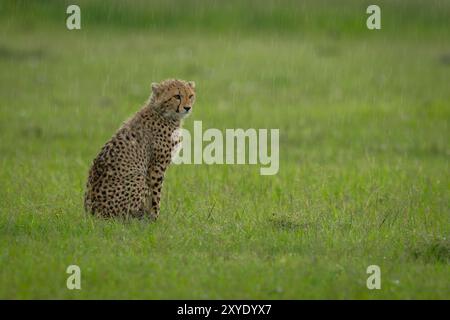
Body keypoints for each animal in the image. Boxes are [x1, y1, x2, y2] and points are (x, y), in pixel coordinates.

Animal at [84, 79, 195, 220]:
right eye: (177, 96)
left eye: (190, 96)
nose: (187, 107)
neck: (161, 112)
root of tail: (91, 214)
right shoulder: (156, 166)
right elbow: (155, 194)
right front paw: (154, 218)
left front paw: (152, 217)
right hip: (137, 177)